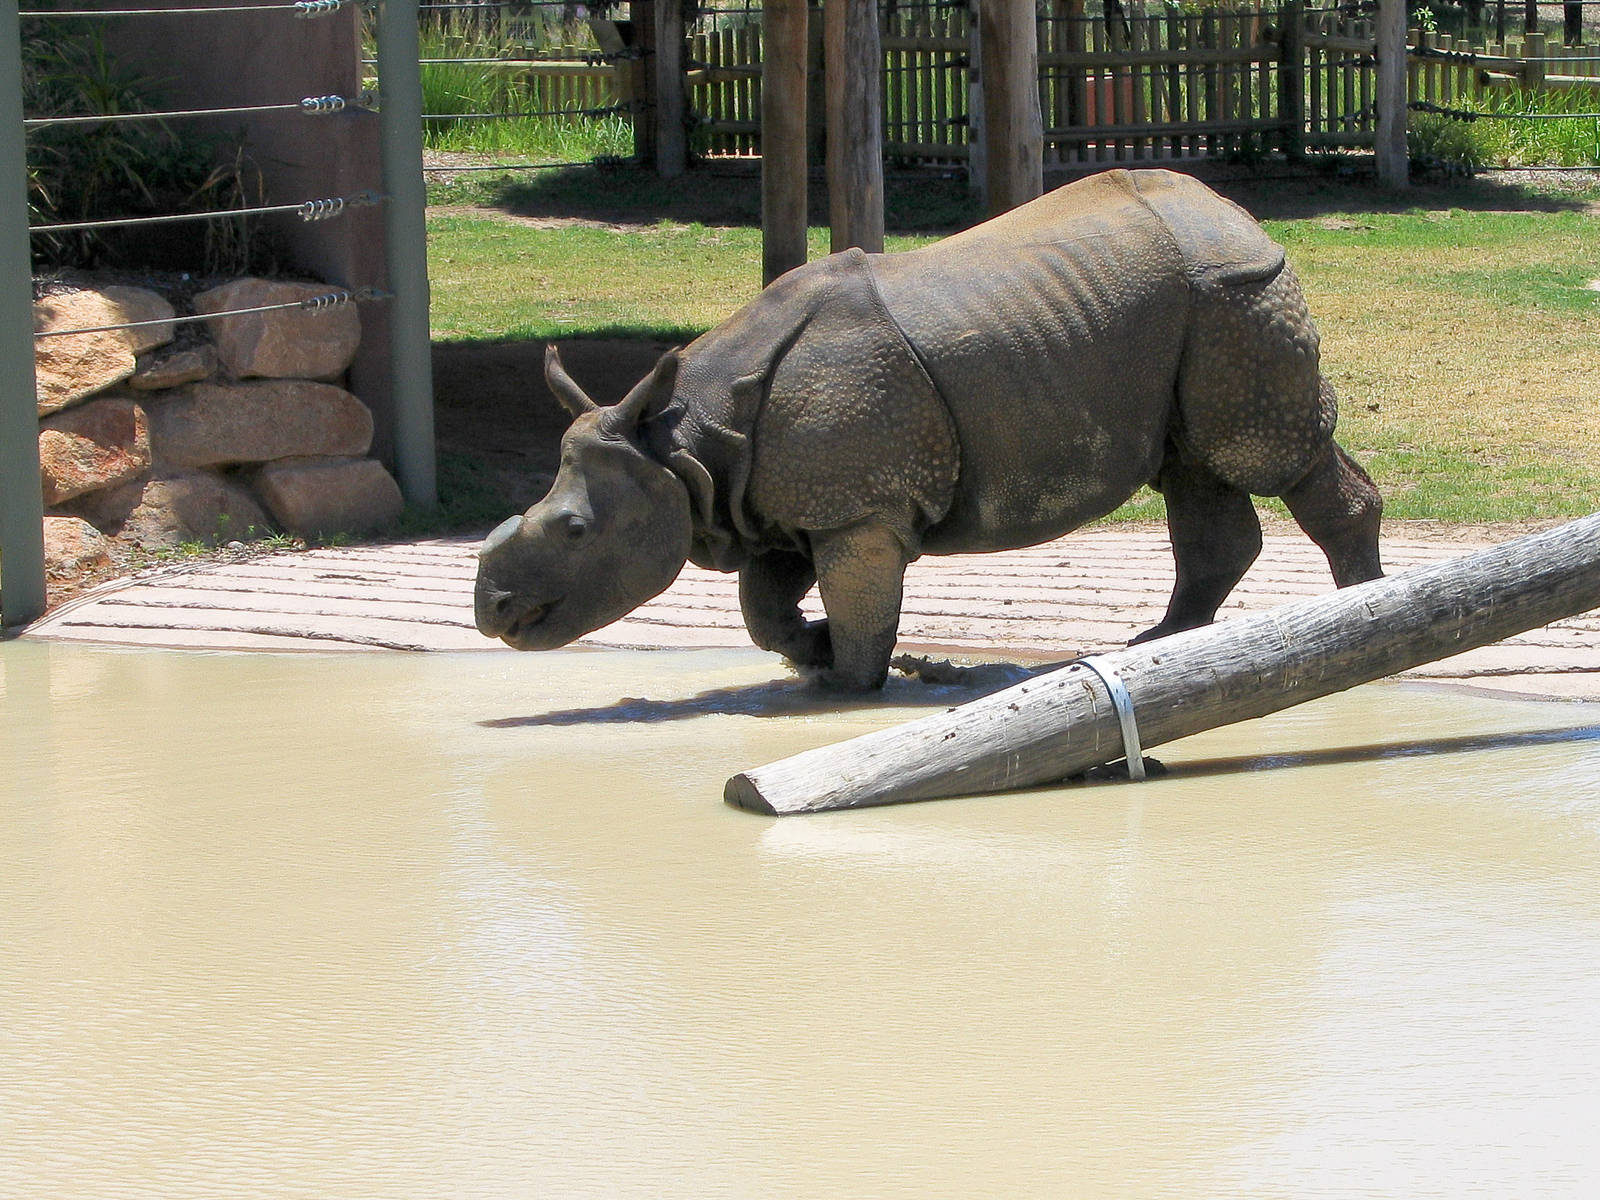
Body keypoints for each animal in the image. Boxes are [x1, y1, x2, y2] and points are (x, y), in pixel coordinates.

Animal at [474, 168, 1383, 690]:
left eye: (574, 530)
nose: (493, 614)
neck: (683, 440)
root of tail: (1233, 211)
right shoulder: (775, 504)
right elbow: (761, 606)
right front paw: (812, 654)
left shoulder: (857, 508)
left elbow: (860, 604)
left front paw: (850, 681)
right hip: (1193, 300)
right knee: (1194, 469)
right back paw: (1158, 647)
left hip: (1233, 289)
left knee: (1266, 455)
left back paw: (1365, 623)